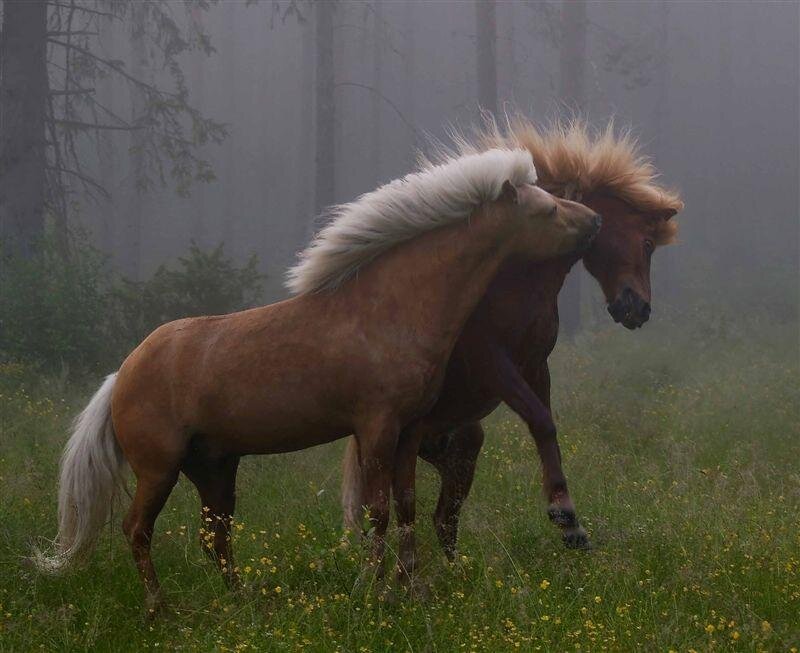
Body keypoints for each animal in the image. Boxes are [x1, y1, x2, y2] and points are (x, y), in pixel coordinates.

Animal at [34, 146, 601, 611]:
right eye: (548, 211)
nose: (594, 220)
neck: (392, 309)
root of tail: (122, 373)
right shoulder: (376, 427)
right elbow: (377, 512)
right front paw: (371, 590)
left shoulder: (409, 430)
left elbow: (407, 506)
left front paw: (409, 586)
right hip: (159, 469)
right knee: (137, 529)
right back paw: (158, 607)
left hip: (213, 468)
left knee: (215, 537)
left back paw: (243, 601)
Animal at [341, 118, 684, 566]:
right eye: (645, 243)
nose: (639, 310)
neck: (519, 279)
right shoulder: (493, 363)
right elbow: (541, 420)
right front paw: (565, 515)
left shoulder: (534, 365)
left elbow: (547, 424)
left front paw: (569, 523)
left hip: (462, 445)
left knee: (443, 518)